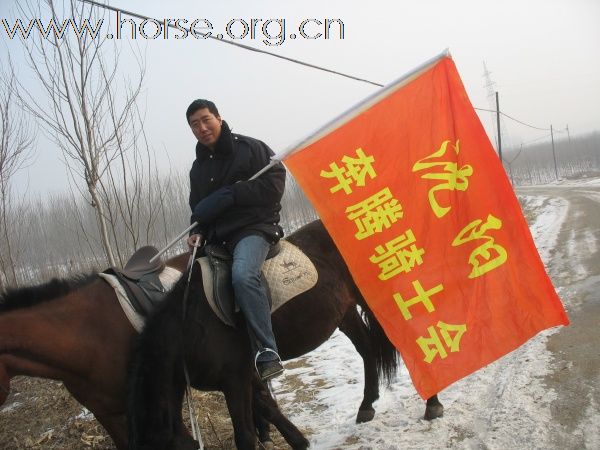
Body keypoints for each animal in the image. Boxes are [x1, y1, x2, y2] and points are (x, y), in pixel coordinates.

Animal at [0, 220, 440, 448]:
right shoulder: (116, 412)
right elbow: (264, 408)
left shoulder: (227, 378)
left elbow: (253, 420)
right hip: (343, 311)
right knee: (366, 349)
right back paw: (366, 406)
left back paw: (431, 404)